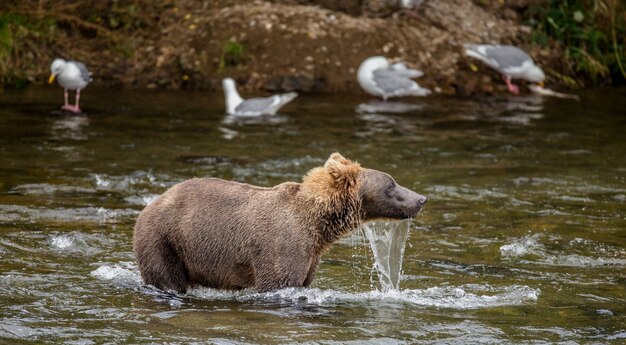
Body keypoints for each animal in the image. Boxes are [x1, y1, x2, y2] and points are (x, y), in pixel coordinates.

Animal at [132, 152, 424, 292]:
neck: (318, 224)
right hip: (165, 239)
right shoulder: (283, 244)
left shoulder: (311, 254)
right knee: (167, 278)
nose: (421, 198)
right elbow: (278, 281)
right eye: (391, 185)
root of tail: (150, 204)